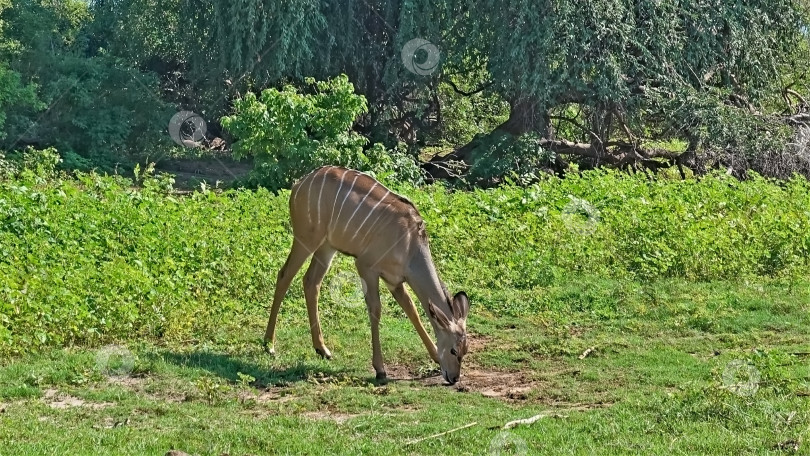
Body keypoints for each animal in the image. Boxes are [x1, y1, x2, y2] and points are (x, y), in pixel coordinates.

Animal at [262, 166, 470, 382]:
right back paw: (269, 345)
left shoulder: (395, 281)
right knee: (284, 275)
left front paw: (434, 357)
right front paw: (380, 369)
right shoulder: (366, 266)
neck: (410, 246)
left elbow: (411, 309)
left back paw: (322, 349)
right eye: (454, 350)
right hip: (306, 239)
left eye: (465, 350)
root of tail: (299, 184)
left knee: (311, 282)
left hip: (327, 247)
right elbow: (376, 310)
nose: (454, 378)